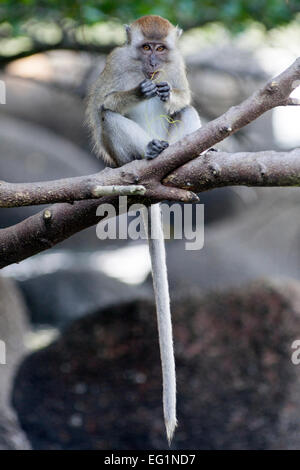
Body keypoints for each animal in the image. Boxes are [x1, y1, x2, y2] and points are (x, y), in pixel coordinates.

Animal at [85, 12, 202, 442]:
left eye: (160, 48)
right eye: (144, 47)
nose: (153, 63)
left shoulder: (178, 64)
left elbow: (183, 96)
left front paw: (166, 90)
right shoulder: (117, 62)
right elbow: (104, 104)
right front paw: (142, 89)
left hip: (176, 143)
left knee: (186, 114)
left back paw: (186, 159)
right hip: (124, 159)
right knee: (109, 117)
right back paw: (146, 153)